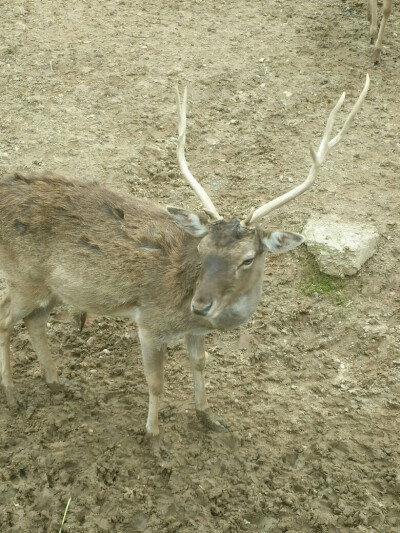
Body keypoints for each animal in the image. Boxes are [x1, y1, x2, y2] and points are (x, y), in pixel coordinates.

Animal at [0, 74, 368, 448]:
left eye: (248, 259)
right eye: (203, 249)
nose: (201, 305)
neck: (185, 309)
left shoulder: (194, 331)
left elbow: (200, 363)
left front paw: (208, 417)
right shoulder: (149, 323)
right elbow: (156, 383)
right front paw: (153, 438)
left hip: (53, 287)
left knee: (34, 320)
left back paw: (57, 382)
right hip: (23, 275)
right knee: (5, 316)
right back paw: (13, 395)